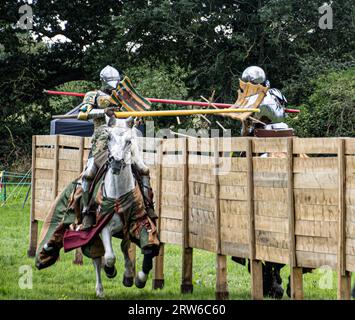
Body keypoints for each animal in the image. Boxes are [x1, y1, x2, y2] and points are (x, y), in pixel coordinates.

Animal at [92, 119, 159, 298]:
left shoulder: (140, 223)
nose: (116, 162)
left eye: (129, 141)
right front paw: (110, 270)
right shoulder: (104, 227)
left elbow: (149, 249)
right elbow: (109, 257)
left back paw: (128, 275)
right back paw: (100, 289)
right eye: (109, 137)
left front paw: (140, 279)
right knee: (97, 259)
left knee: (124, 247)